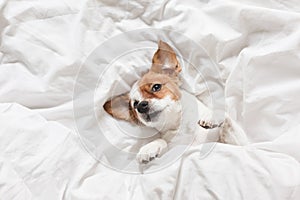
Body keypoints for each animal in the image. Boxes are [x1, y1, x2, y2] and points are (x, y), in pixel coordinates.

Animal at [103, 41, 248, 164]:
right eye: (134, 105)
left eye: (156, 87)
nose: (141, 106)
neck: (180, 125)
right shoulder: (175, 148)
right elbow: (162, 140)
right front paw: (149, 148)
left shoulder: (240, 144)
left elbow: (228, 122)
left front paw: (211, 117)